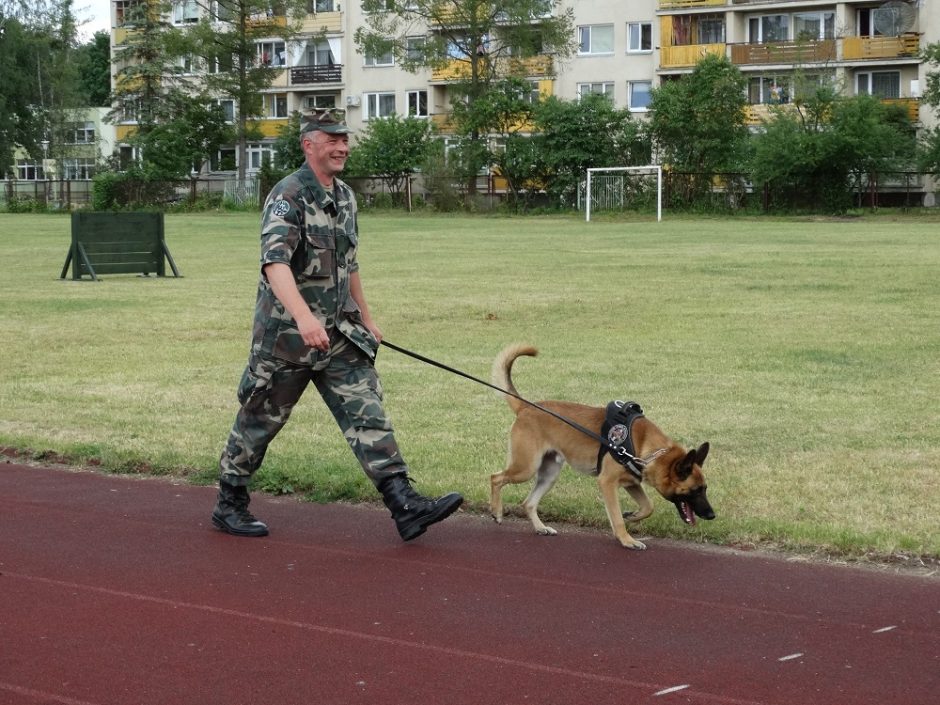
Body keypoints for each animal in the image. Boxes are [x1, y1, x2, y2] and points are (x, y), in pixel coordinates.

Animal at [488, 344, 716, 548]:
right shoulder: (607, 483)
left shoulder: (632, 483)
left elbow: (648, 506)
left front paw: (632, 515)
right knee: (496, 478)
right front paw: (627, 540)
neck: (646, 447)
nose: (712, 515)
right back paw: (497, 512)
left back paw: (540, 527)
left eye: (705, 489)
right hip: (526, 468)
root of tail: (525, 407)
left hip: (549, 474)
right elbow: (616, 518)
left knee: (528, 503)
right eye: (695, 491)